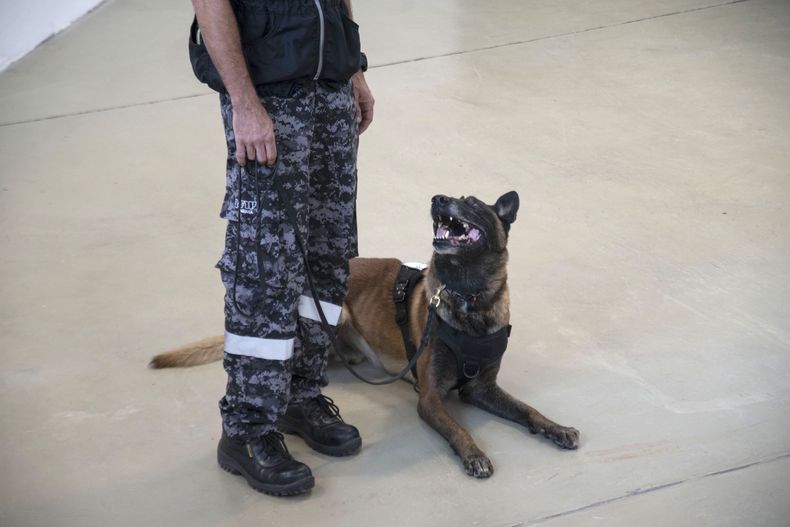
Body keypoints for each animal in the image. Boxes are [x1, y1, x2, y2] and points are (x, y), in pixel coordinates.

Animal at [150, 192, 580, 480]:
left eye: (471, 202)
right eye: (452, 197)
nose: (437, 198)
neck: (467, 297)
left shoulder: (482, 388)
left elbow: (528, 410)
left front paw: (556, 428)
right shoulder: (430, 398)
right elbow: (459, 427)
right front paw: (474, 454)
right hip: (332, 316)